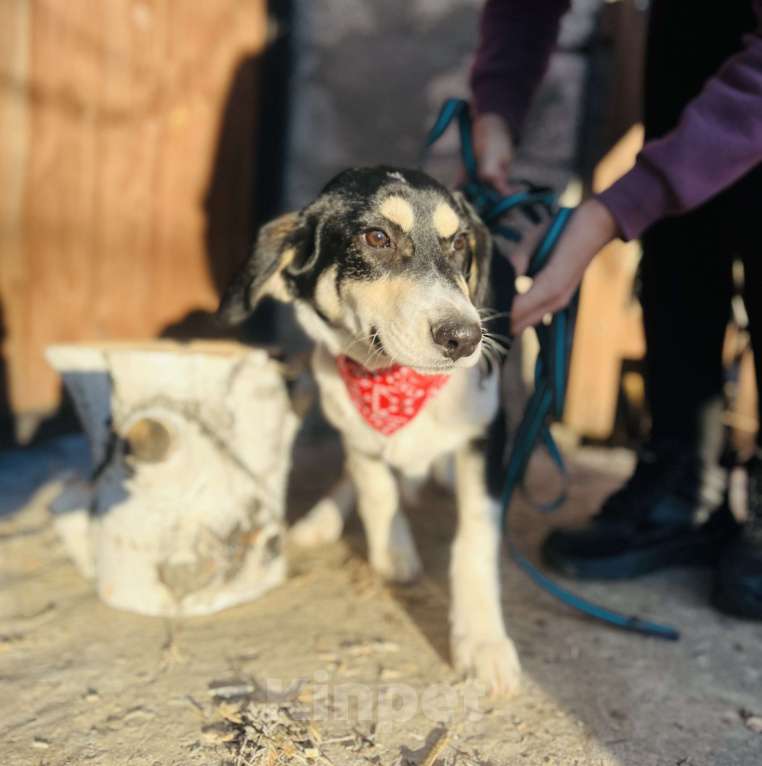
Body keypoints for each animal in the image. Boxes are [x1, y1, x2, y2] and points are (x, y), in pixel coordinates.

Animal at [217, 168, 520, 696]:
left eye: (461, 242)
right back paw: (322, 519)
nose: (465, 338)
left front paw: (483, 643)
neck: (394, 381)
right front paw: (392, 552)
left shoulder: (486, 434)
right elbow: (376, 488)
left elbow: (475, 541)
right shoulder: (350, 421)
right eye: (376, 238)